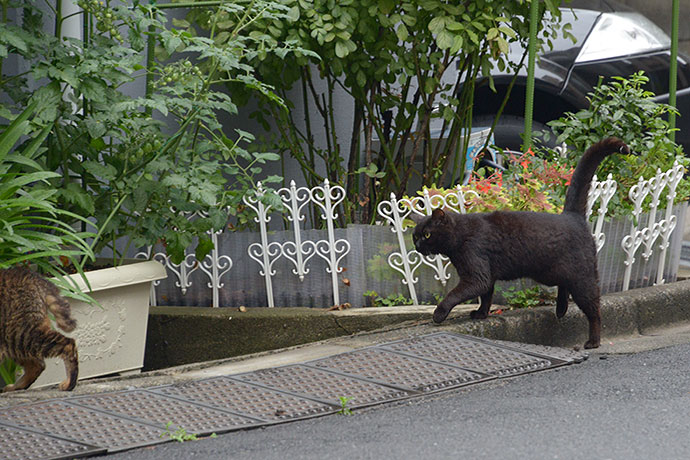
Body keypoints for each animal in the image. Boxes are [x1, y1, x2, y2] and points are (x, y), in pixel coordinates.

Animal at [408, 137, 628, 348]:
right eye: (415, 236)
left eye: (426, 235)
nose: (417, 246)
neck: (462, 235)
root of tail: (572, 216)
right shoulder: (486, 275)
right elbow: (486, 296)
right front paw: (481, 314)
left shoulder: (476, 275)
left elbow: (455, 294)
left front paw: (439, 314)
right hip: (549, 273)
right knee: (564, 285)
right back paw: (561, 309)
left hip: (582, 278)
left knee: (595, 310)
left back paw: (593, 341)